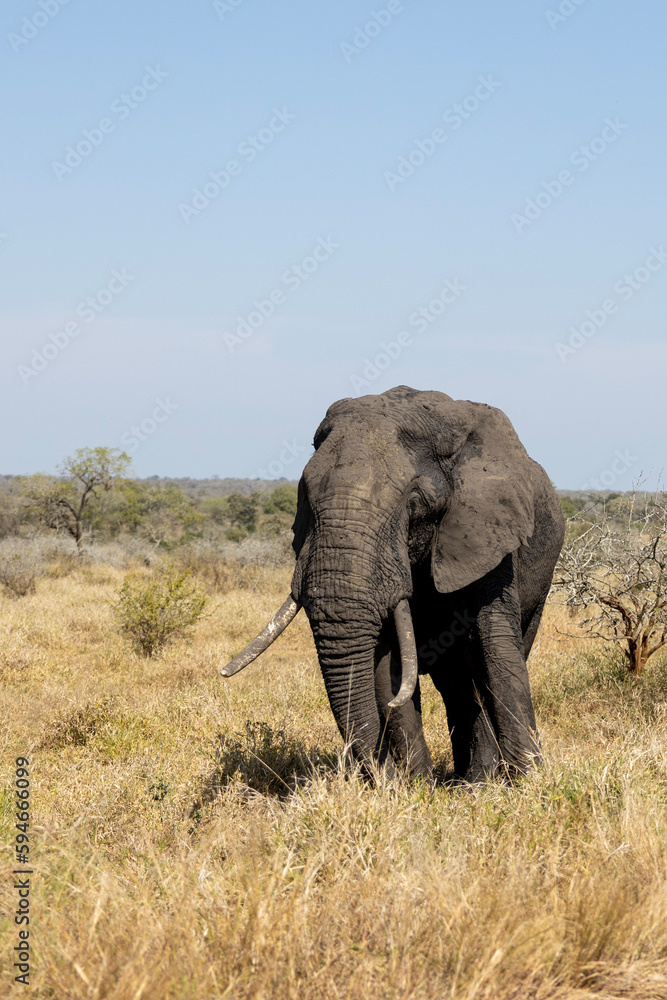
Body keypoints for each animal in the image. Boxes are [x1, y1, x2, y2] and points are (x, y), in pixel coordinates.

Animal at [221, 386, 564, 783]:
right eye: (305, 495)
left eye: (413, 503)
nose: (374, 771)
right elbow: (388, 665)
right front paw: (416, 786)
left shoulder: (487, 531)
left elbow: (495, 646)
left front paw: (527, 782)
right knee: (456, 682)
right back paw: (466, 779)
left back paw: (477, 780)